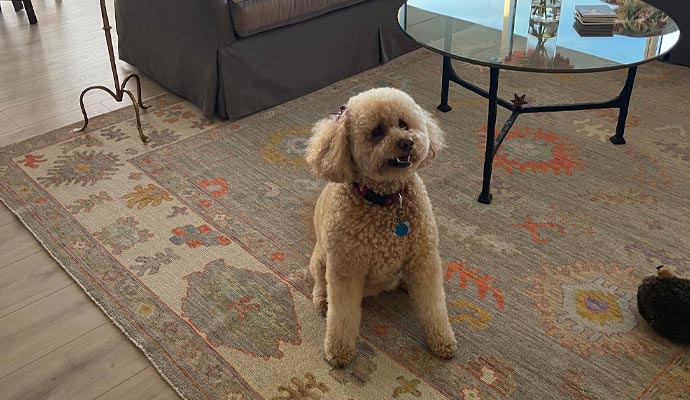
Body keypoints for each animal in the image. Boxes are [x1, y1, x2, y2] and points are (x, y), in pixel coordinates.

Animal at [304, 88, 454, 368]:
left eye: (403, 123)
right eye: (376, 132)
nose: (407, 143)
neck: (387, 200)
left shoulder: (424, 259)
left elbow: (434, 305)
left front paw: (442, 340)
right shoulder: (345, 270)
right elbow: (342, 316)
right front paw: (338, 351)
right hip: (320, 260)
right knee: (319, 282)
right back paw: (322, 300)